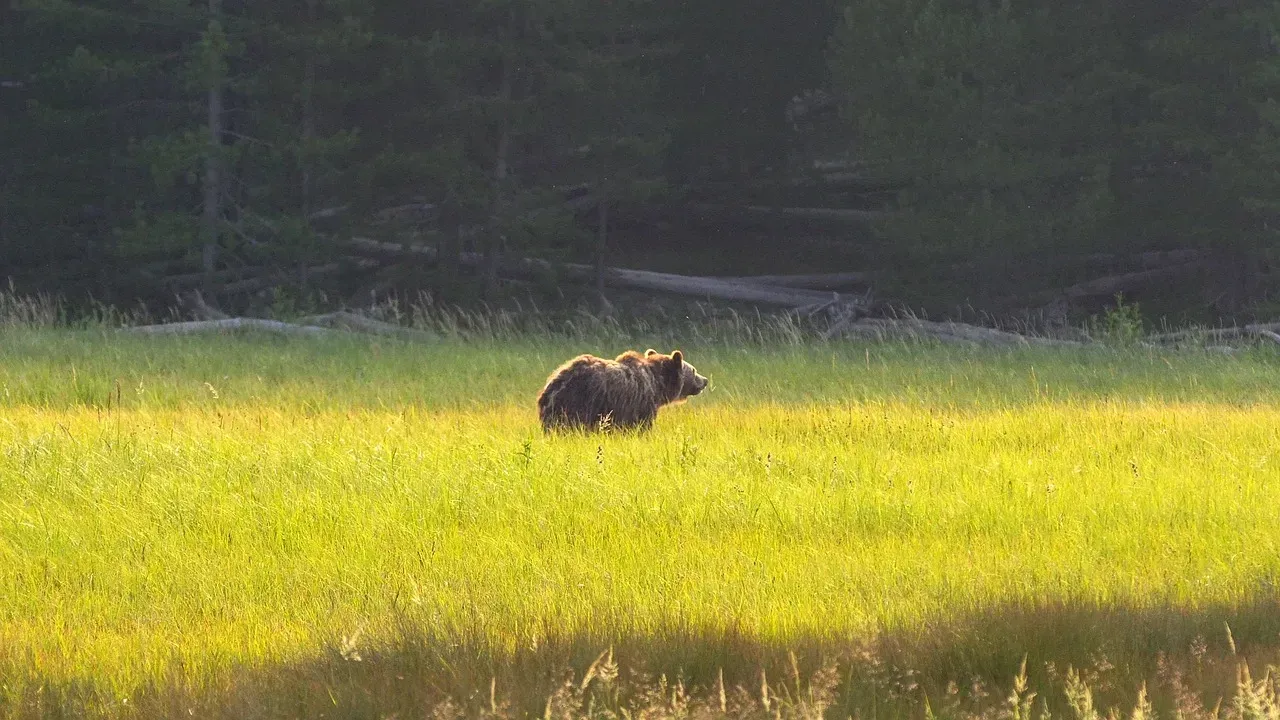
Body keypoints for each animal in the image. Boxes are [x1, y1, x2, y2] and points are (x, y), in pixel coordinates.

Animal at [536, 348, 709, 433]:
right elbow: (642, 427)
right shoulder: (641, 404)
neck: (658, 384)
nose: (705, 380)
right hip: (580, 402)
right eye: (694, 370)